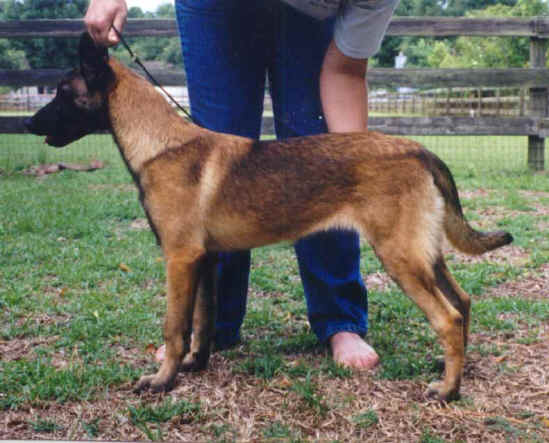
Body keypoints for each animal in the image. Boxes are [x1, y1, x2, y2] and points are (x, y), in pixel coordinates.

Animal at [25, 32, 513, 402]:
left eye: (62, 92)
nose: (28, 124)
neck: (160, 143)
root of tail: (419, 149)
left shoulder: (179, 259)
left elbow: (173, 326)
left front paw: (163, 380)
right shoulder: (204, 261)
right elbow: (201, 322)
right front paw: (196, 364)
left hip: (400, 256)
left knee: (447, 317)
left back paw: (447, 390)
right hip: (424, 254)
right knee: (462, 302)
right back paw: (456, 370)